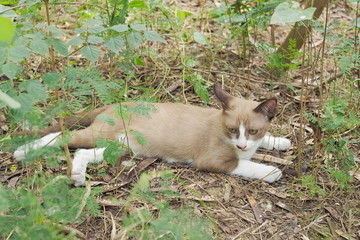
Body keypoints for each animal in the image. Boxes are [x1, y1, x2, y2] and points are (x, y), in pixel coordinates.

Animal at [14, 84, 292, 186]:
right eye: (232, 130)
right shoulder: (212, 160)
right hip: (100, 134)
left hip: (121, 146)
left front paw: (280, 141)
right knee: (61, 137)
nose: (243, 145)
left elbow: (266, 142)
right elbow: (244, 165)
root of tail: (115, 104)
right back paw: (23, 151)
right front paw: (271, 171)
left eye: (253, 131)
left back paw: (78, 175)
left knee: (83, 152)